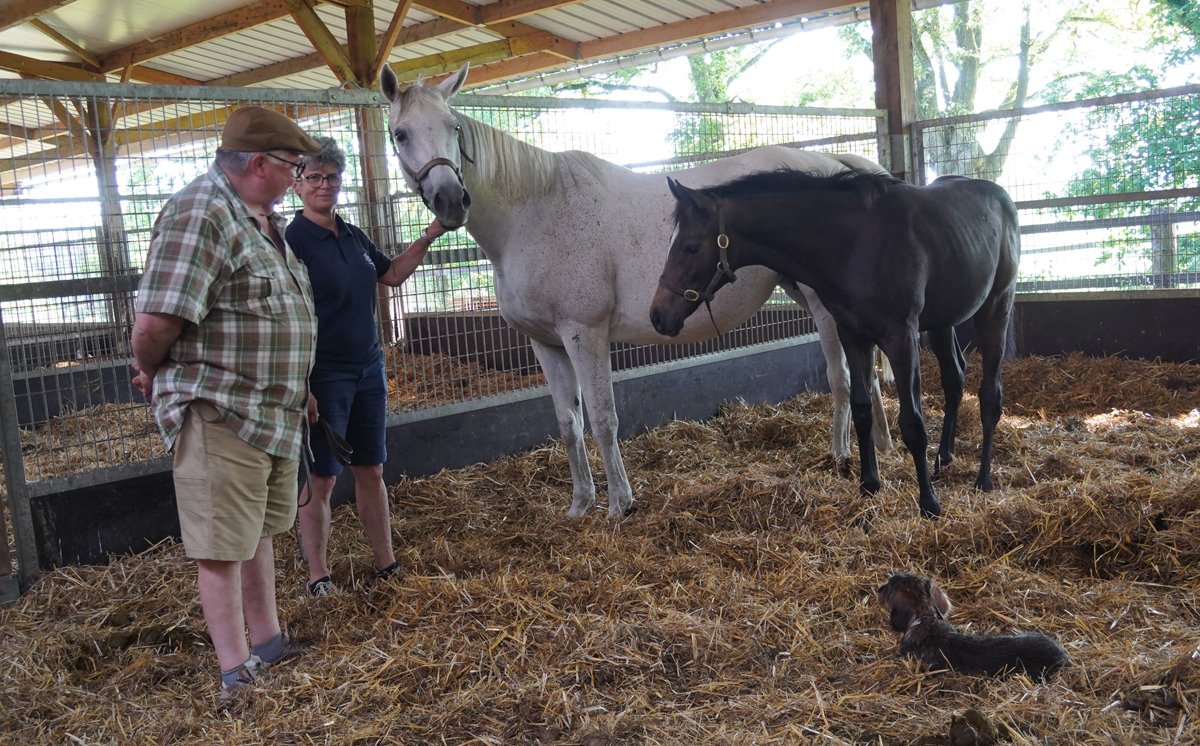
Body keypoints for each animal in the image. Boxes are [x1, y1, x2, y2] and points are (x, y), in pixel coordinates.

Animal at [380, 63, 893, 519]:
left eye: (453, 127)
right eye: (400, 134)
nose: (451, 201)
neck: (532, 212)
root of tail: (831, 163)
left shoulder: (584, 333)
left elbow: (603, 419)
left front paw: (618, 505)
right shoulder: (546, 343)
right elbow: (568, 424)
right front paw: (579, 505)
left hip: (822, 304)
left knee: (841, 378)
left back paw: (840, 454)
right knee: (864, 376)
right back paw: (884, 446)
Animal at [651, 168, 1020, 518]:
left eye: (690, 246)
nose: (657, 315)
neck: (856, 243)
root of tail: (1000, 196)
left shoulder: (900, 336)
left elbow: (913, 422)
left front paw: (929, 503)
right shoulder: (853, 335)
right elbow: (861, 408)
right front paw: (869, 485)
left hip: (996, 307)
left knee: (989, 394)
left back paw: (983, 479)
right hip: (943, 322)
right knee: (954, 378)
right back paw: (943, 459)